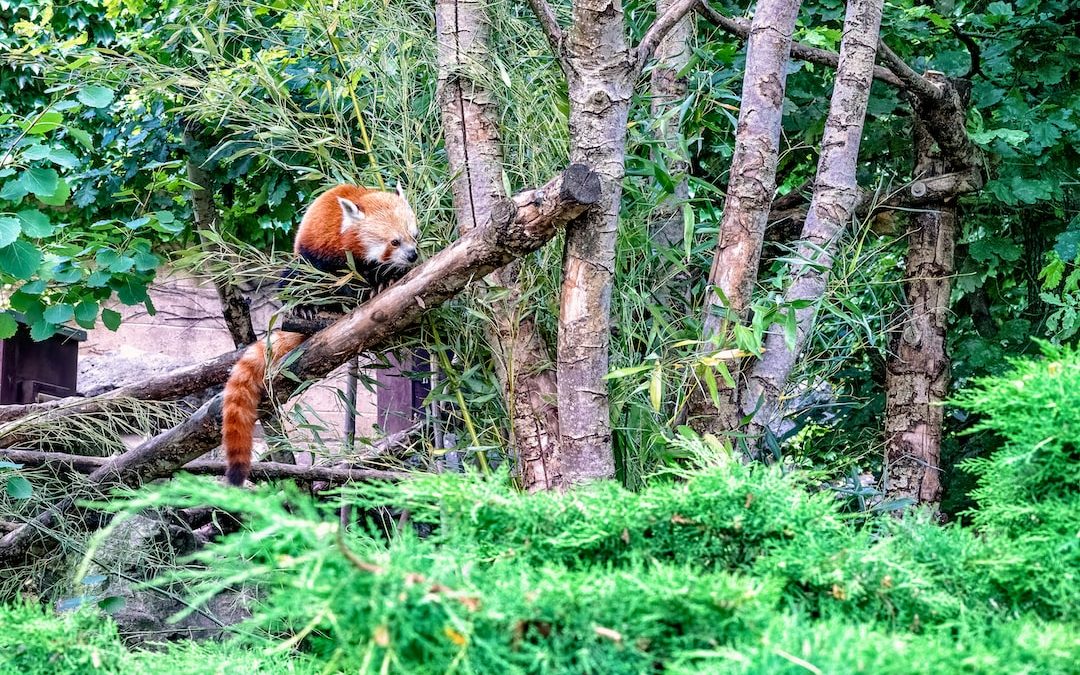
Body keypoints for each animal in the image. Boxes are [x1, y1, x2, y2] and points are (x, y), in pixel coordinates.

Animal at [221, 184, 419, 483]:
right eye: (394, 242)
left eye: (414, 235)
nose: (413, 255)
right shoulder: (321, 251)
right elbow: (322, 277)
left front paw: (383, 281)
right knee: (292, 279)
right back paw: (305, 308)